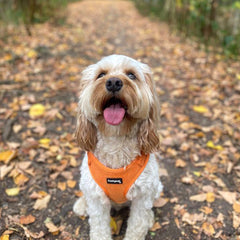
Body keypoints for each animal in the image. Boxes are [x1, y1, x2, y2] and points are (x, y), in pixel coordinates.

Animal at [73, 54, 163, 240]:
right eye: (101, 74)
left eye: (131, 75)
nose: (113, 82)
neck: (116, 141)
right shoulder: (97, 199)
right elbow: (99, 228)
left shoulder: (143, 196)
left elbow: (137, 226)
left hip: (157, 187)